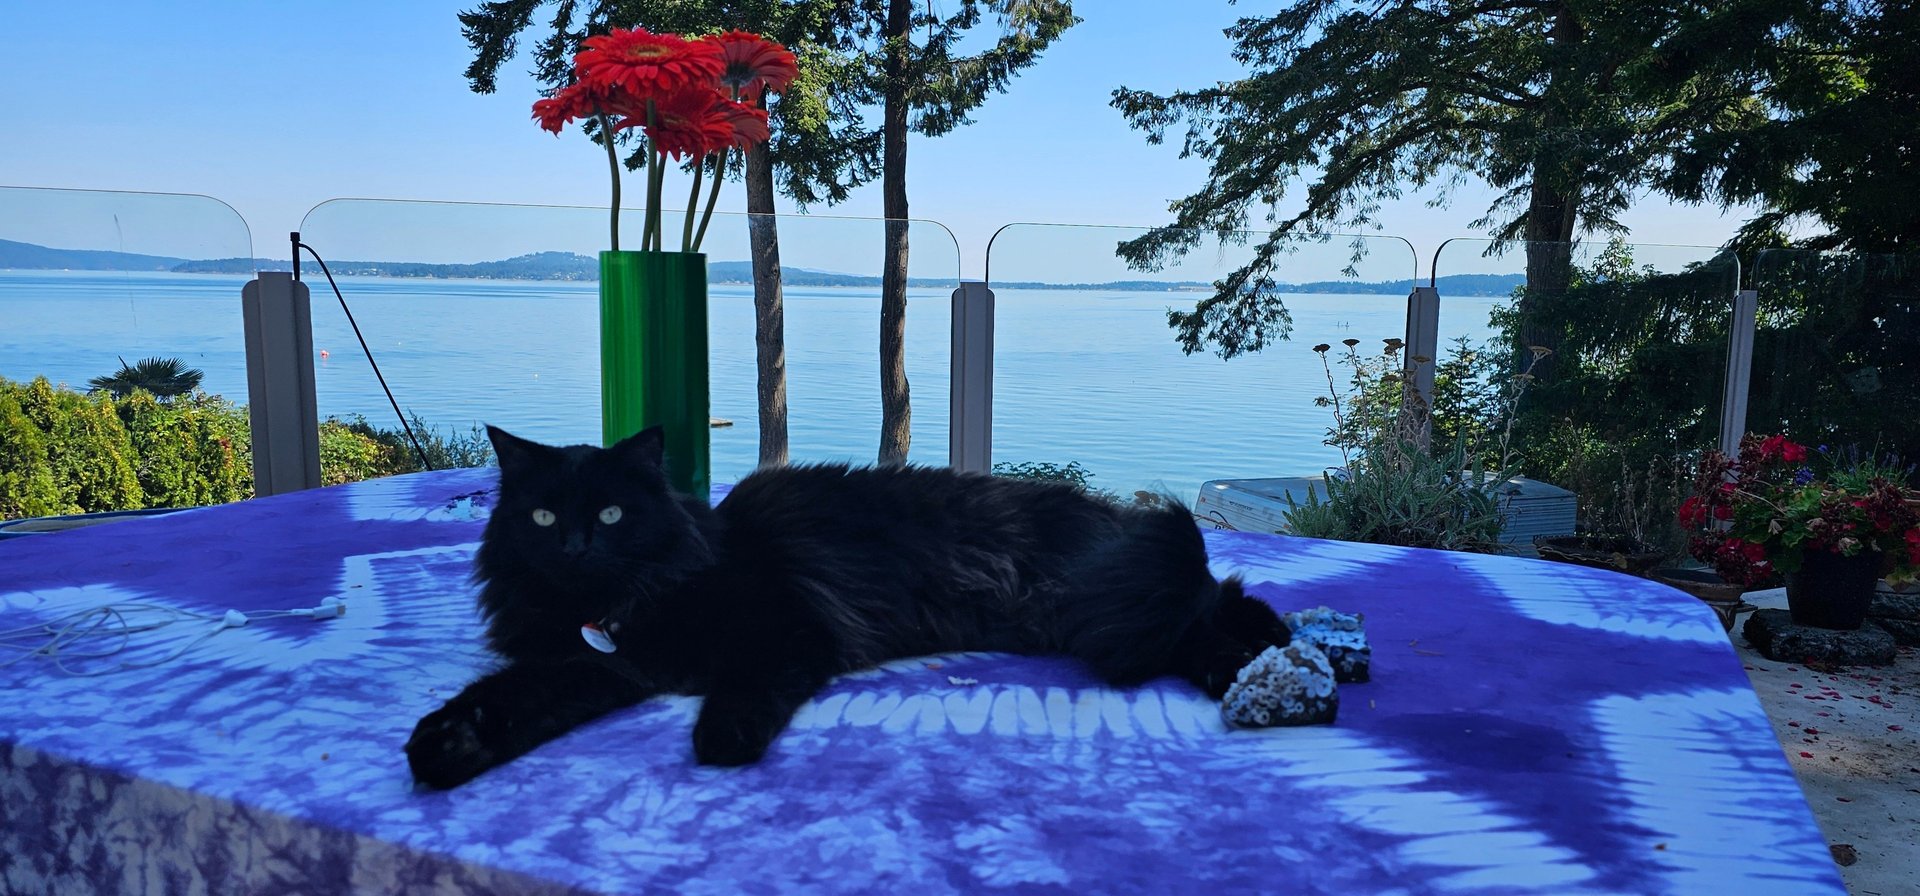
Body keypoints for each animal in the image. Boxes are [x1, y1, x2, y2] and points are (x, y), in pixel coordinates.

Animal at [405, 425, 1290, 786]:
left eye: (615, 515)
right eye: (542, 518)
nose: (577, 546)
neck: (618, 607)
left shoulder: (786, 628)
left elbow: (745, 689)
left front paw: (721, 742)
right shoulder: (600, 668)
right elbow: (513, 697)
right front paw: (449, 742)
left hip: (1094, 608)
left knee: (1214, 603)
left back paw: (1269, 664)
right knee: (1213, 607)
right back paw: (1265, 659)